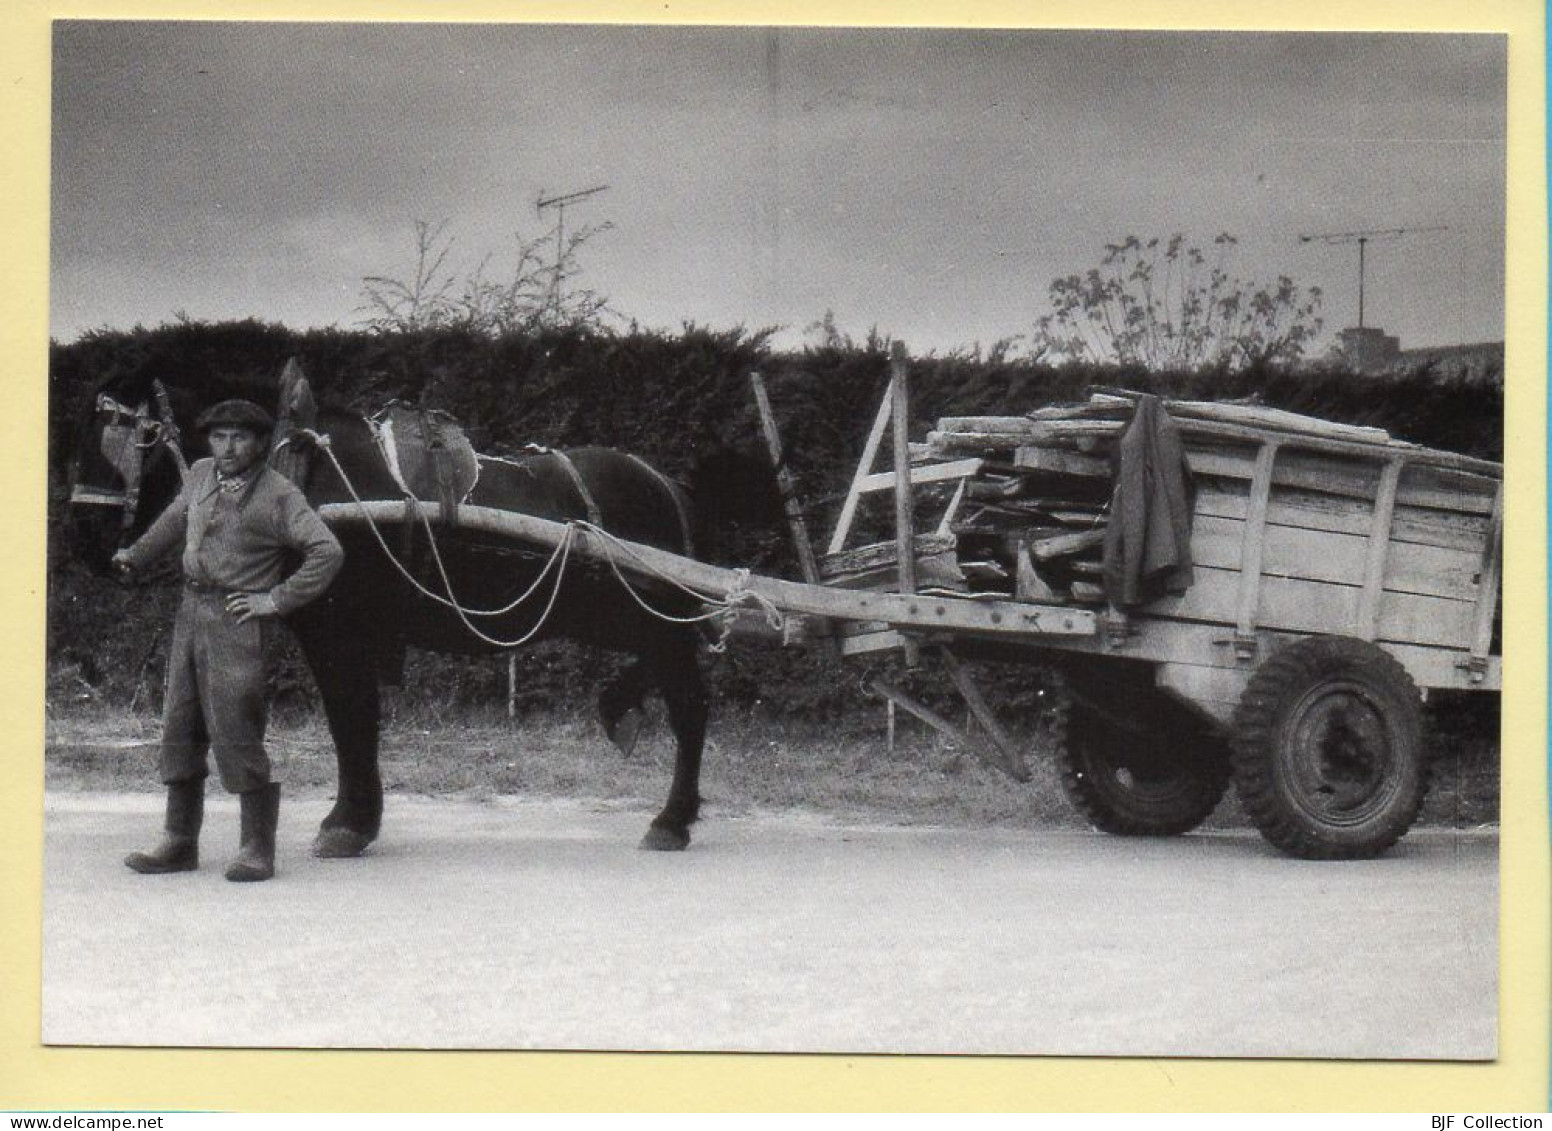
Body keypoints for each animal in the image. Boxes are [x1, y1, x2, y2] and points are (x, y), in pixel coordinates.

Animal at [63, 364, 754, 856]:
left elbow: (350, 719)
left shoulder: (337, 628)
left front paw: (348, 823)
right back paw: (625, 717)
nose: (85, 543)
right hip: (621, 617)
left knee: (689, 706)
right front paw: (358, 819)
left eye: (120, 435)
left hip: (647, 616)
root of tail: (665, 485)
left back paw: (671, 819)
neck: (303, 468)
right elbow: (357, 722)